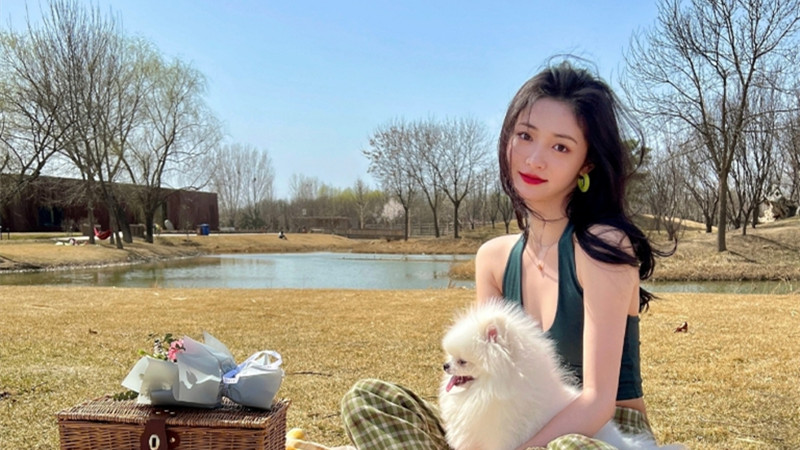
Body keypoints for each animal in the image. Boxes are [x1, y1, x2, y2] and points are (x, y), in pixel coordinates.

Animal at [439, 300, 683, 450]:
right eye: (450, 356)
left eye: (462, 361)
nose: (445, 366)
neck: (489, 388)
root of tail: (623, 442)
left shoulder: (500, 437)